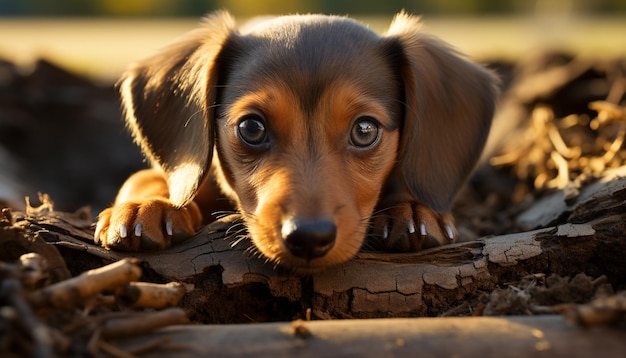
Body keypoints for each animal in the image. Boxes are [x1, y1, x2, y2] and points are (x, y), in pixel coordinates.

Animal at [95, 11, 498, 272]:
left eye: (365, 131)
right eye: (251, 128)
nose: (308, 238)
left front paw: (413, 209)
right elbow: (146, 178)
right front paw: (147, 205)